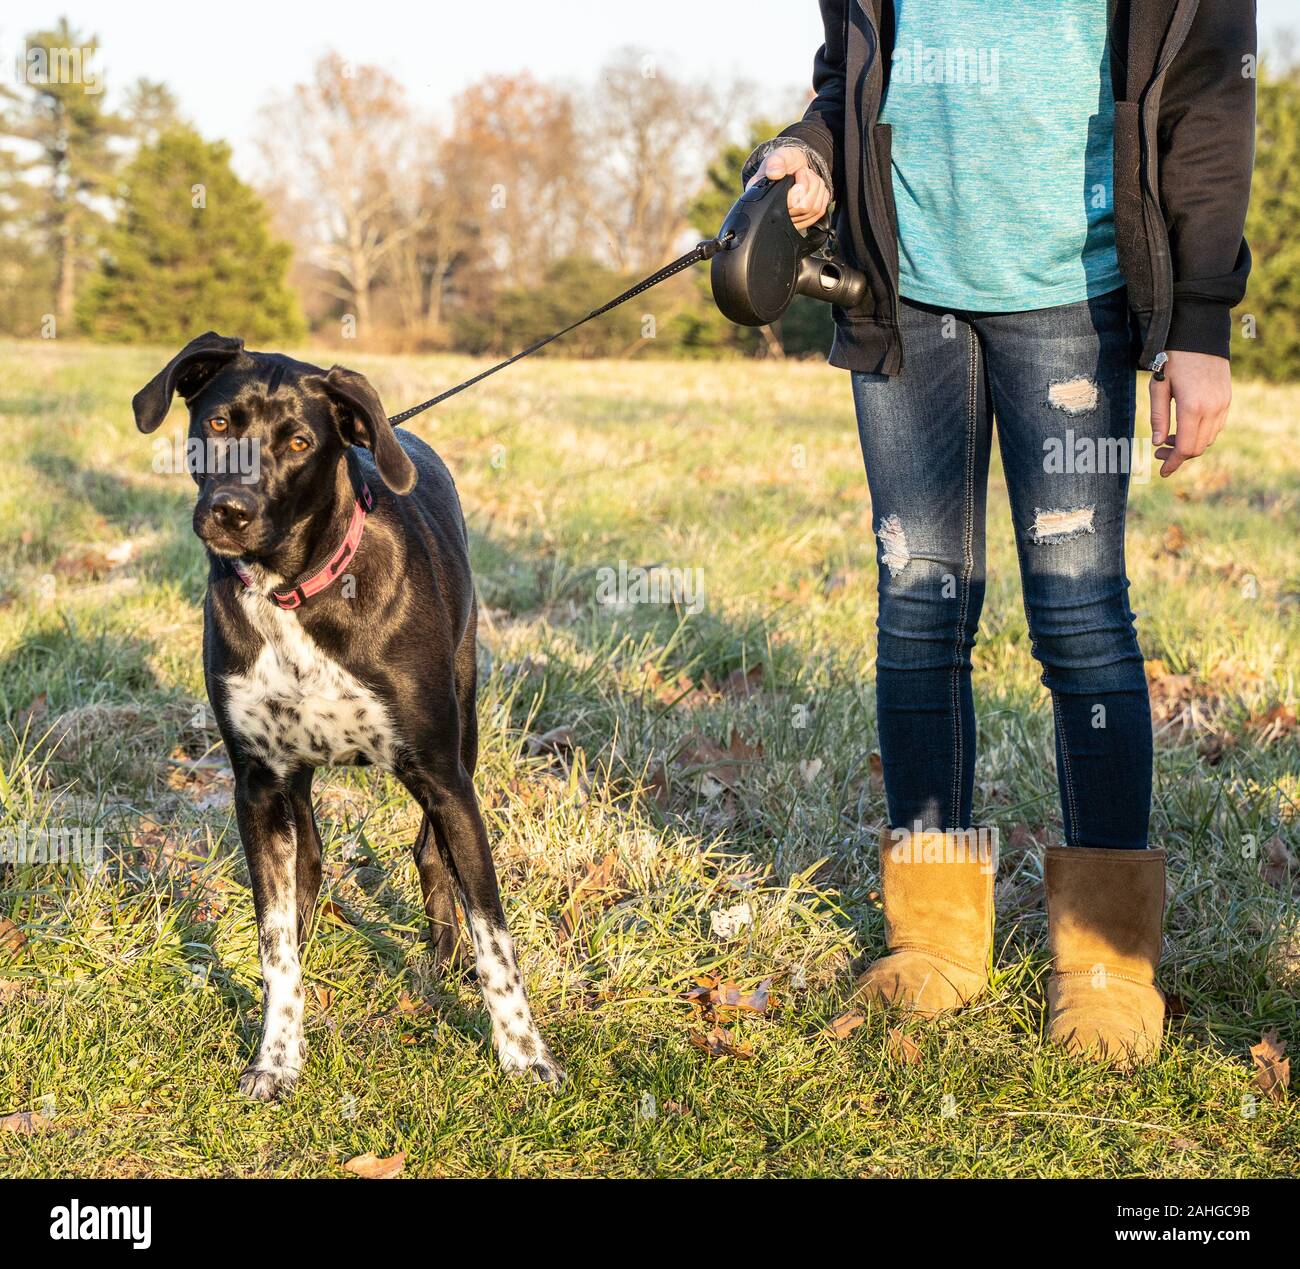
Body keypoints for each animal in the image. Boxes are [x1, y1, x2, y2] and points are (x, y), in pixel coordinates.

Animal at [133, 335, 564, 1102]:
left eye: (300, 442)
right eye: (219, 424)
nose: (231, 510)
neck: (293, 592)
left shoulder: (445, 777)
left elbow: (495, 933)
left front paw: (523, 1053)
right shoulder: (259, 786)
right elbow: (274, 938)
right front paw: (276, 1056)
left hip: (462, 731)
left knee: (431, 852)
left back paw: (443, 963)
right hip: (296, 790)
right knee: (307, 873)